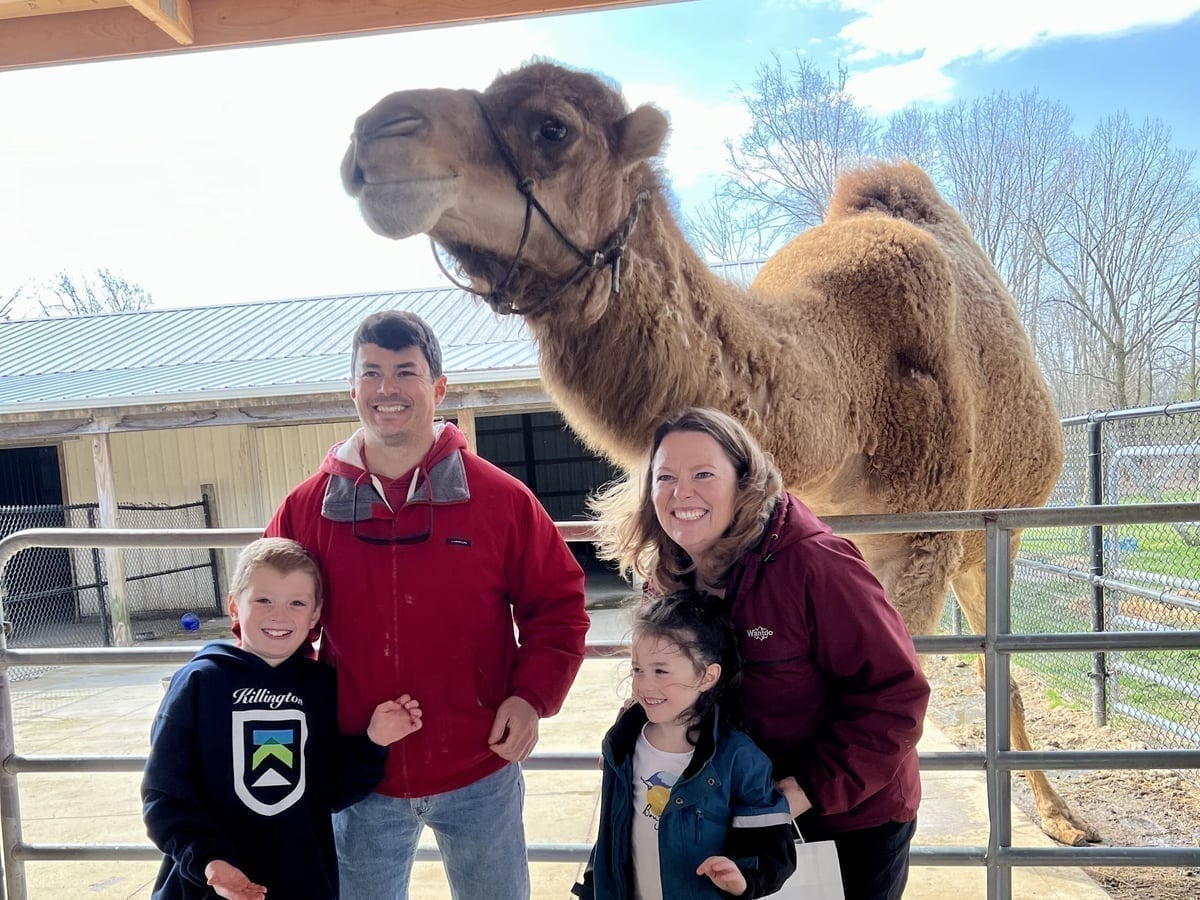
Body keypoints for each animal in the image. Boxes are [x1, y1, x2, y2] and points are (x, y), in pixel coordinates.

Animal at [340, 61, 1094, 847]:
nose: (375, 136)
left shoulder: (922, 542)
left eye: (554, 127)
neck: (845, 407)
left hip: (996, 533)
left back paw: (1060, 817)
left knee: (995, 665)